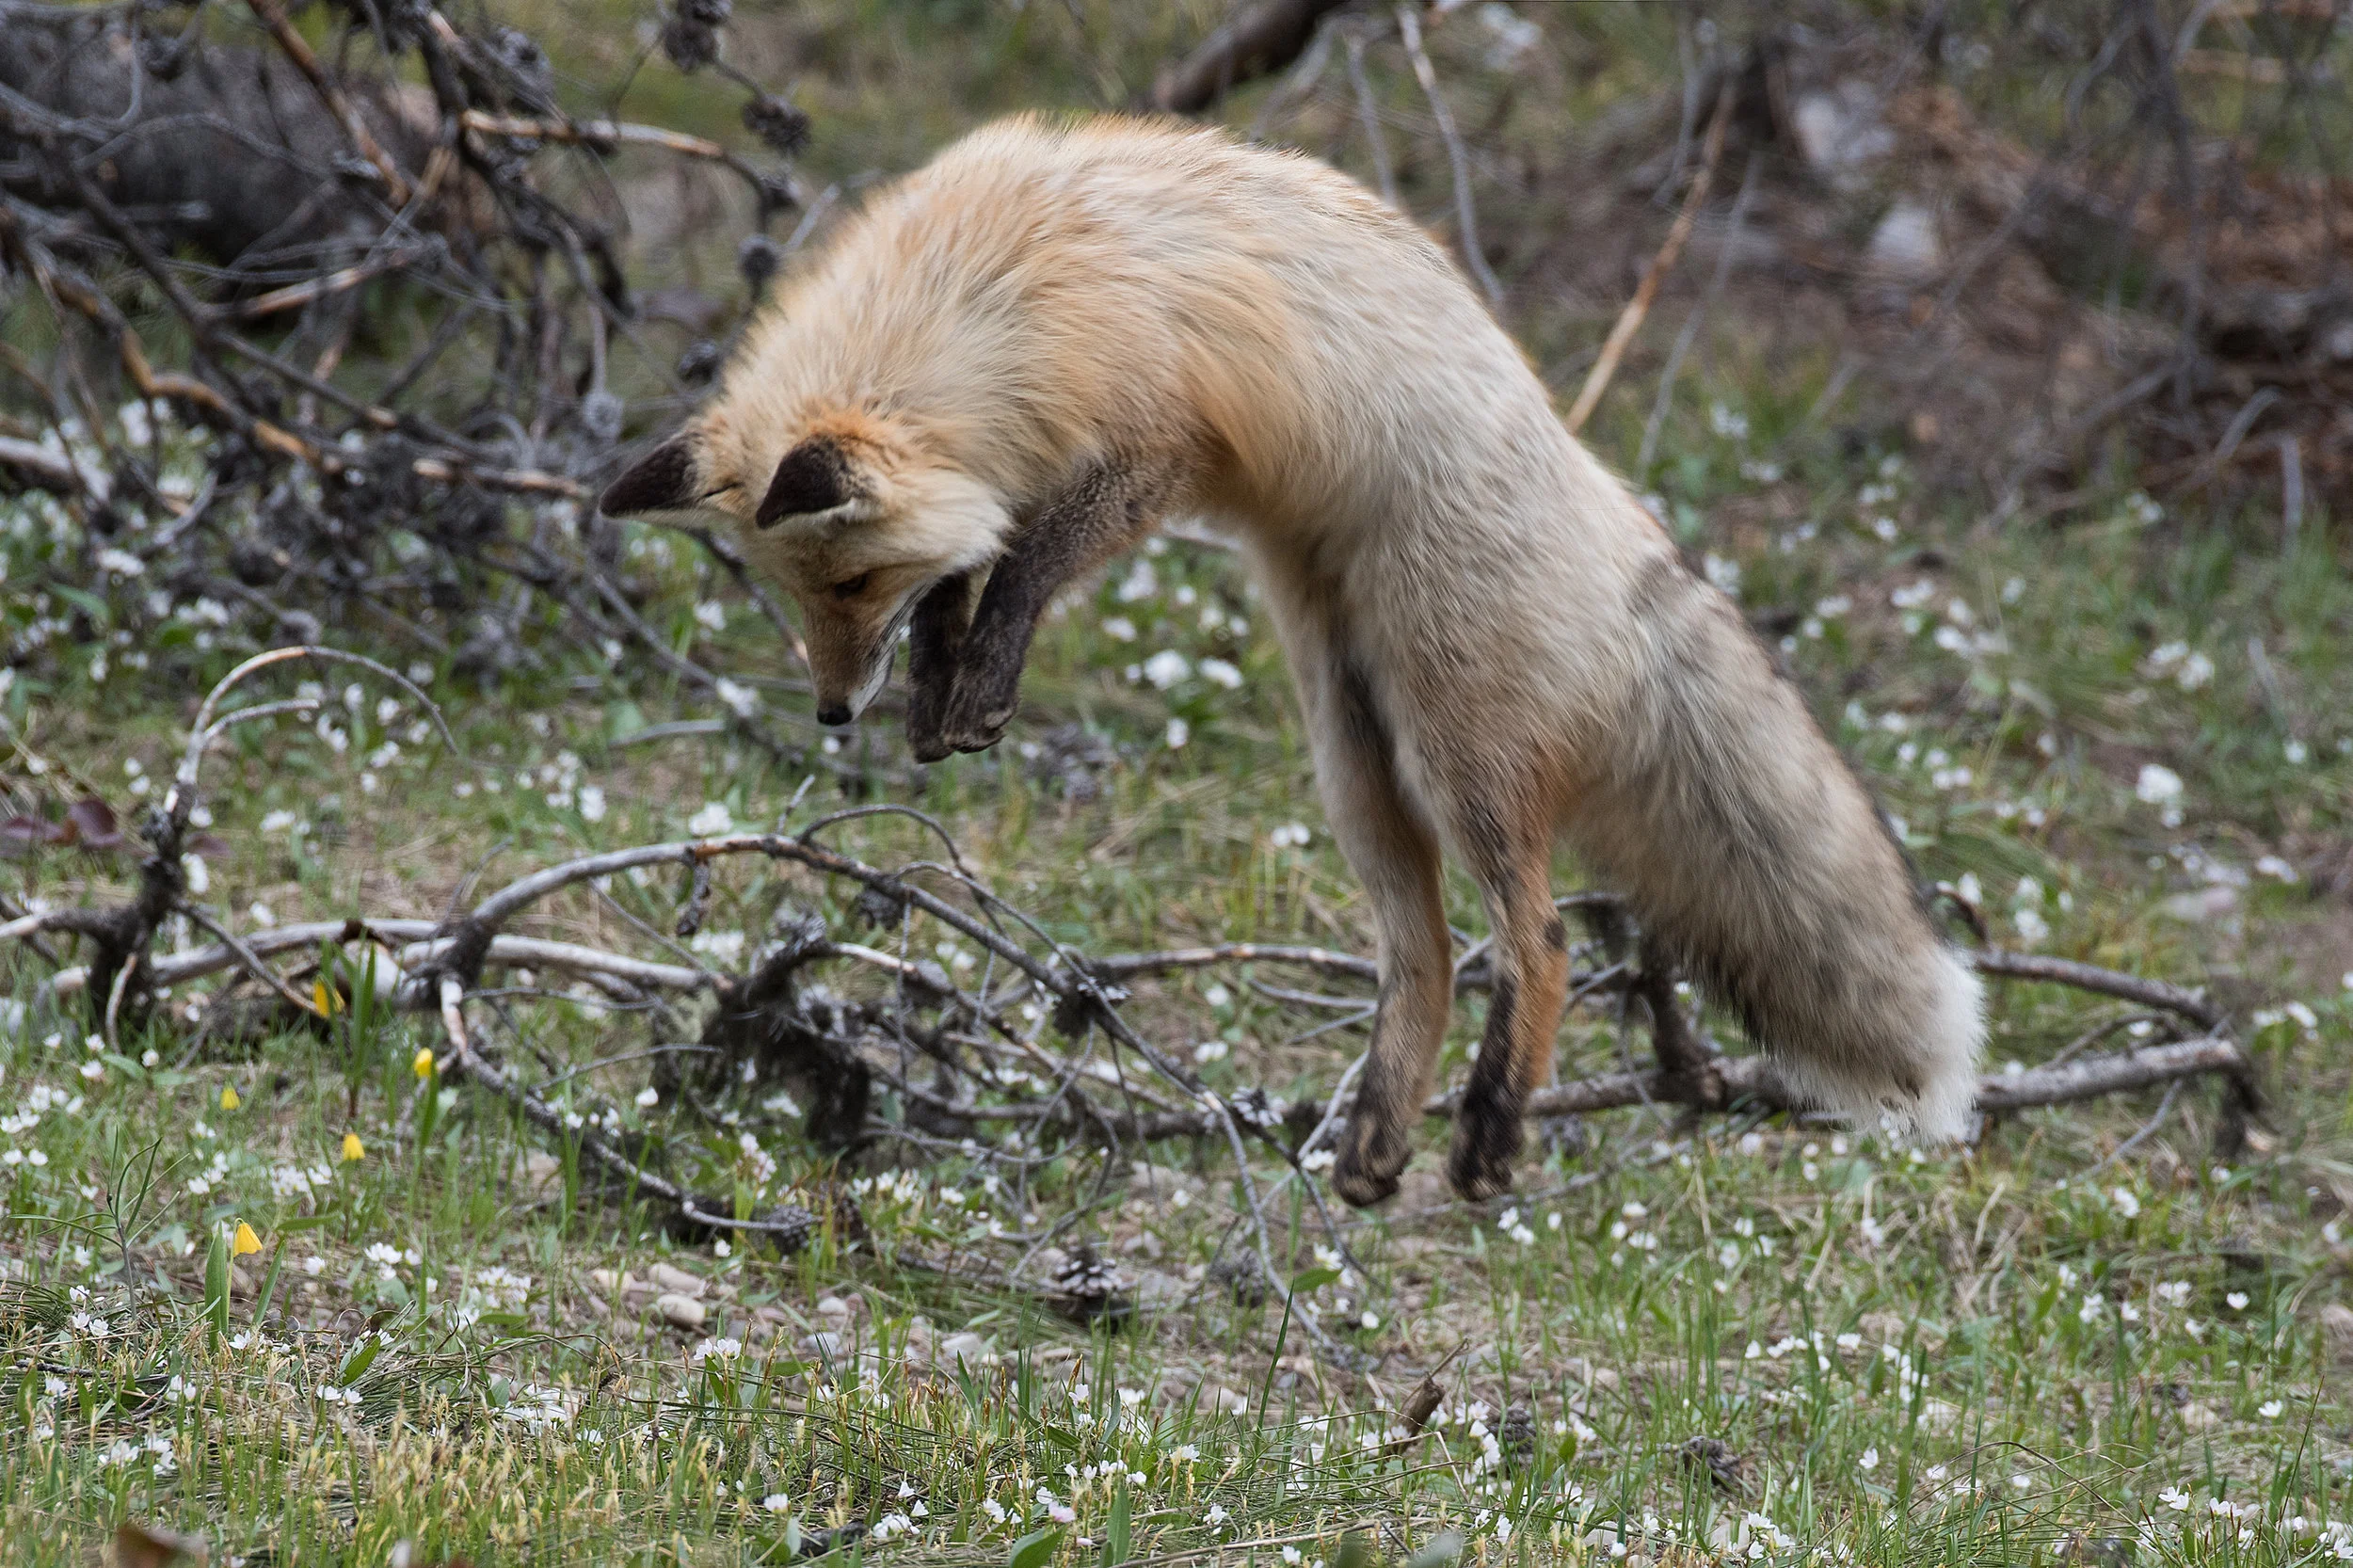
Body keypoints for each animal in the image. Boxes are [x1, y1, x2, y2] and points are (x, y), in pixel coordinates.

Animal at [600, 113, 1985, 1206]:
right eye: (796, 594)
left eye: (845, 584)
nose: (835, 713)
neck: (995, 296)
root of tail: (1611, 501)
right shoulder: (1012, 467)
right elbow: (967, 575)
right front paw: (944, 698)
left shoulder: (1154, 439)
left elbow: (1029, 563)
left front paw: (980, 684)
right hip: (1353, 761)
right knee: (1426, 955)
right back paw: (1376, 1142)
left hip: (1456, 755)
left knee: (1537, 938)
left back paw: (1489, 1134)